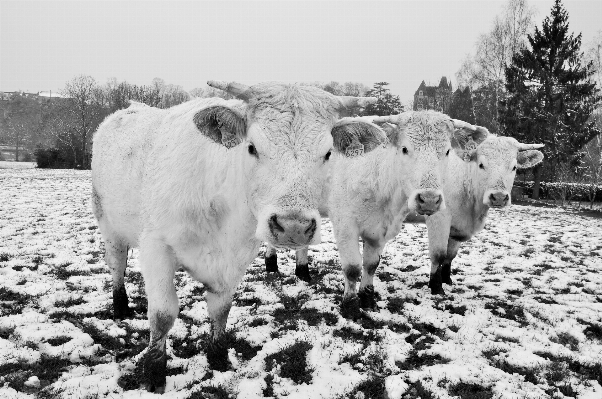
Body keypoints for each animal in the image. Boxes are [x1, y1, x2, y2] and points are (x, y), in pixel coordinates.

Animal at [91, 82, 386, 394]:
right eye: (252, 147)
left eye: (329, 153)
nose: (293, 227)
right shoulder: (156, 248)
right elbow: (162, 314)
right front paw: (155, 374)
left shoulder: (236, 256)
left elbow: (221, 309)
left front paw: (218, 357)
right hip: (109, 226)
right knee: (117, 266)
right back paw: (120, 306)